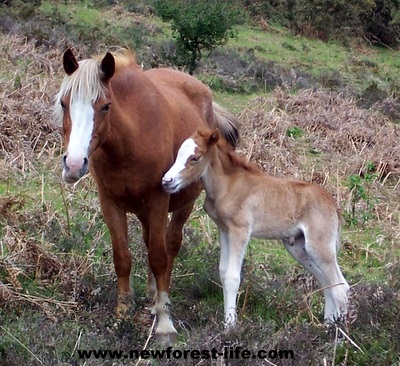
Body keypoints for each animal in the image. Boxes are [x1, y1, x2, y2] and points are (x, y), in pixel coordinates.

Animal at [54, 47, 239, 342]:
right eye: (64, 103)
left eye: (105, 106)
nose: (73, 165)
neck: (130, 141)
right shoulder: (110, 203)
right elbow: (123, 257)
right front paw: (121, 315)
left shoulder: (158, 201)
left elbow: (159, 257)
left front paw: (164, 322)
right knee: (150, 241)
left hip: (182, 204)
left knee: (170, 244)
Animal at [162, 127, 350, 324]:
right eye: (178, 154)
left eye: (195, 157)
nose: (167, 181)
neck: (228, 186)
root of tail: (332, 204)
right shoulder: (224, 230)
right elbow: (223, 272)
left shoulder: (240, 230)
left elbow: (232, 277)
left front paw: (230, 325)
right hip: (298, 248)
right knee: (328, 284)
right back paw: (327, 325)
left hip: (319, 246)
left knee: (341, 287)